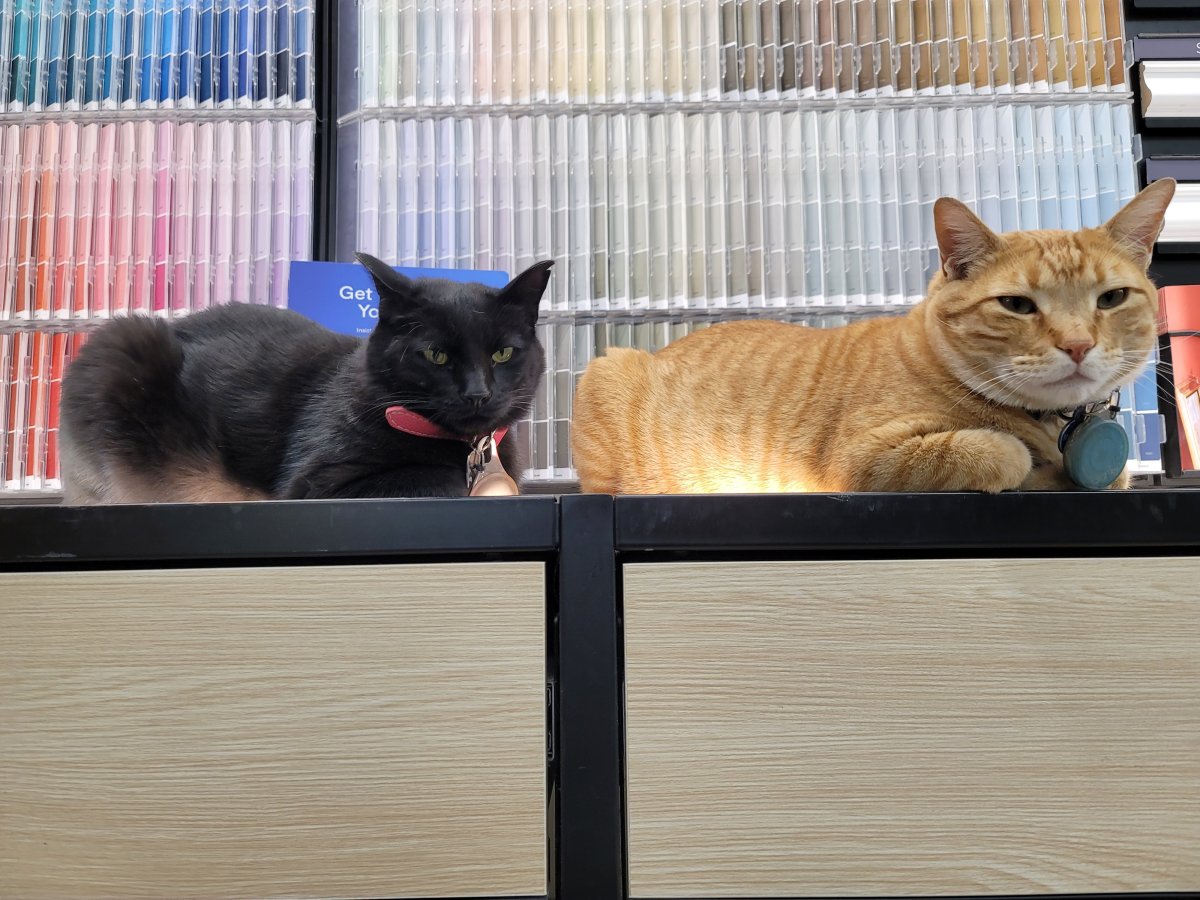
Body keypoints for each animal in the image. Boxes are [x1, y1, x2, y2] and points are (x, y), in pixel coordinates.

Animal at [59, 254, 552, 504]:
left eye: (502, 352)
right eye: (436, 355)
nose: (478, 393)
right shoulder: (318, 485)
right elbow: (440, 479)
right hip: (123, 344)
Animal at [568, 181, 1171, 496]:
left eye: (1111, 298)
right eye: (1017, 305)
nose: (1077, 345)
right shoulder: (867, 461)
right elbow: (996, 453)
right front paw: (1023, 463)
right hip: (607, 373)